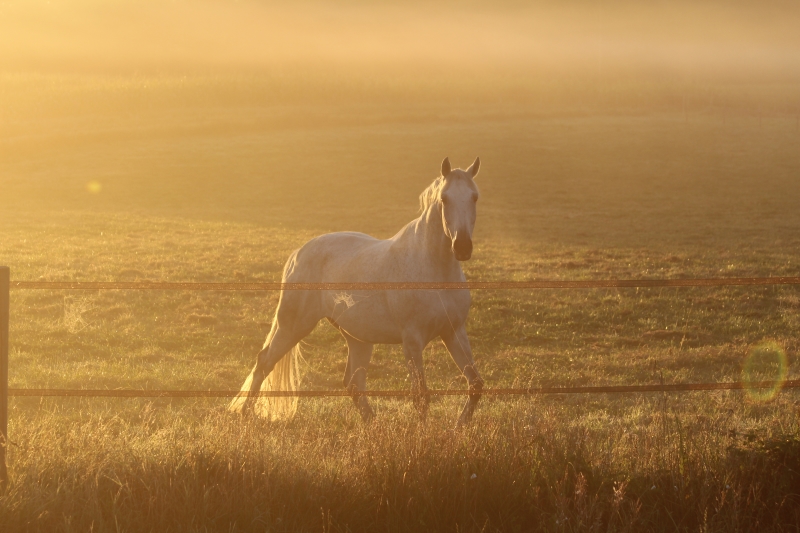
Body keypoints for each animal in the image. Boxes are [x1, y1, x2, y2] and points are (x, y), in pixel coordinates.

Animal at [228, 156, 484, 426]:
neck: (433, 268)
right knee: (264, 362)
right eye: (444, 198)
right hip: (292, 327)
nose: (462, 247)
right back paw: (245, 415)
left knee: (352, 383)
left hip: (358, 339)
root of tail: (299, 252)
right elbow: (420, 396)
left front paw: (459, 426)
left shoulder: (453, 332)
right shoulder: (412, 340)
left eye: (474, 197)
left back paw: (373, 424)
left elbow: (475, 384)